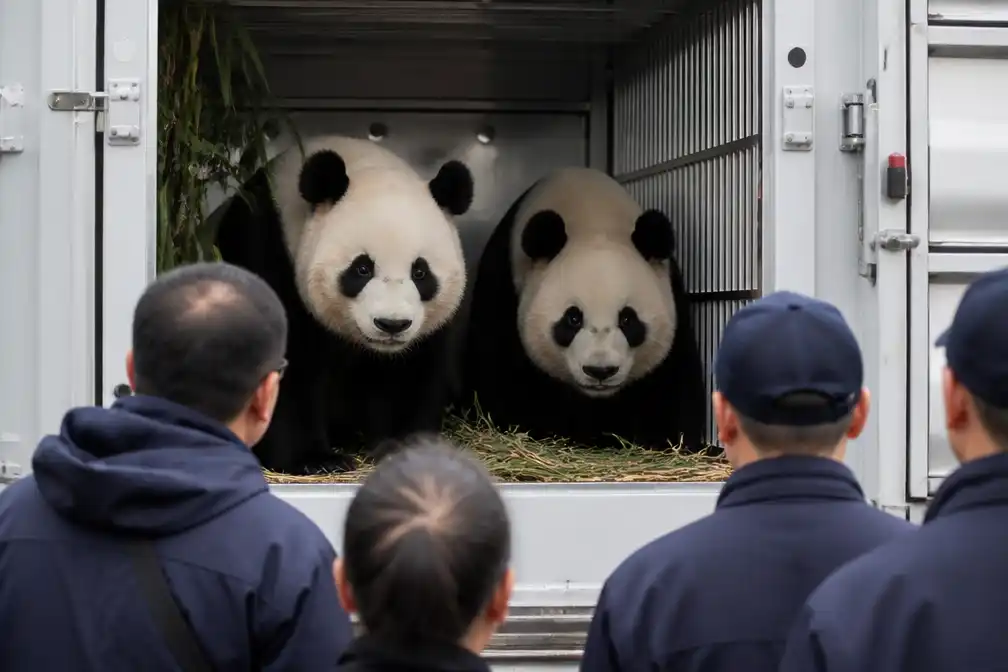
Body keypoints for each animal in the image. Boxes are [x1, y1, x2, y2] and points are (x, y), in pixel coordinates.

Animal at [214, 134, 474, 474]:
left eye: (420, 272)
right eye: (362, 268)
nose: (392, 324)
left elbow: (412, 374)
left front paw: (402, 448)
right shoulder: (266, 250)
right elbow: (288, 367)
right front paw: (315, 459)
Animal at [463, 167, 707, 452]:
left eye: (627, 319)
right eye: (573, 318)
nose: (600, 371)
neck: (593, 218)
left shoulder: (672, 294)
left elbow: (673, 380)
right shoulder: (503, 286)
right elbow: (505, 374)